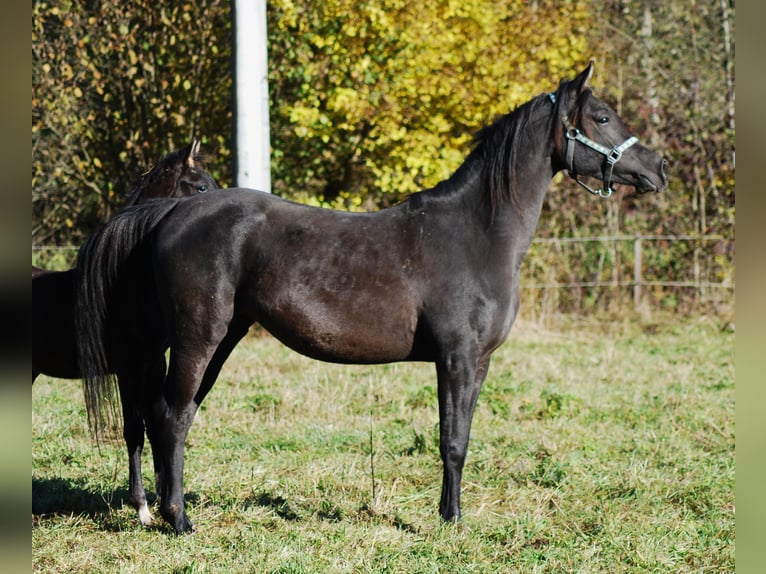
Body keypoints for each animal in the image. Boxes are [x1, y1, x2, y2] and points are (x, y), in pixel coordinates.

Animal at [33, 140, 219, 528]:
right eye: (201, 187)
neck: (125, 285)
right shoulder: (128, 370)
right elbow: (133, 430)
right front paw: (143, 508)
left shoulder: (152, 367)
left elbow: (155, 423)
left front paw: (165, 498)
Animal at [75, 64, 668, 536]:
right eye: (603, 117)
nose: (658, 169)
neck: (477, 232)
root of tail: (170, 212)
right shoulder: (455, 359)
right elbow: (451, 440)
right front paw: (450, 522)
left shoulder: (478, 363)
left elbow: (463, 438)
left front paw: (451, 515)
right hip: (199, 337)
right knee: (172, 417)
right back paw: (178, 520)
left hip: (220, 340)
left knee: (166, 416)